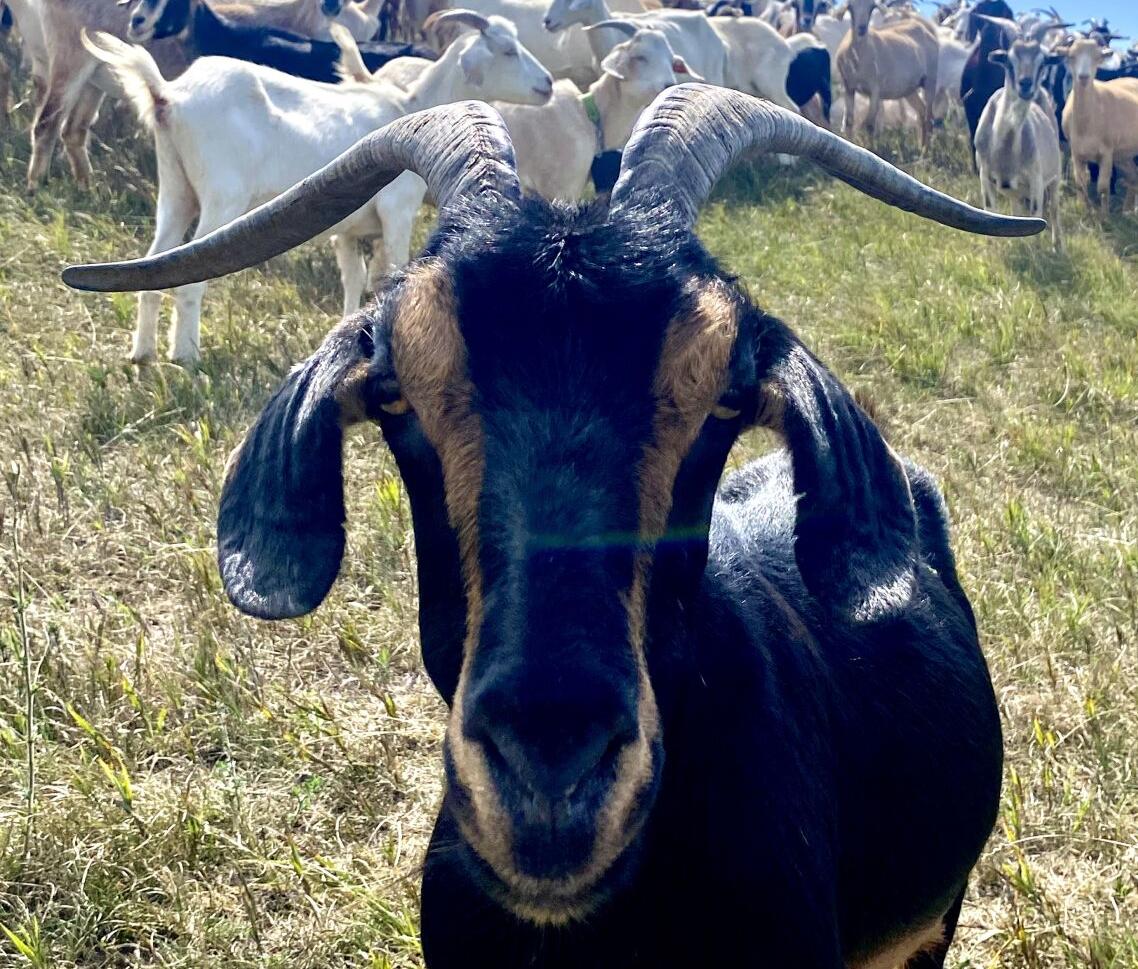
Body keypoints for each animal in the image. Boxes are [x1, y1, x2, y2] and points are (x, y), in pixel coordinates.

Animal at [79, 10, 551, 364]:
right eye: (507, 50)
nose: (547, 85)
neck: (409, 105)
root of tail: (167, 94)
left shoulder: (348, 230)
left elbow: (354, 281)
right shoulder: (397, 211)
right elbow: (392, 269)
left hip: (176, 191)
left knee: (156, 263)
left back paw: (142, 355)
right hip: (221, 199)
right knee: (192, 276)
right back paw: (186, 357)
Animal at [835, 0, 939, 150]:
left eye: (871, 7)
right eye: (850, 7)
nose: (861, 29)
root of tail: (925, 30)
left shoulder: (875, 89)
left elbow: (870, 124)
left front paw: (871, 149)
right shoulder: (848, 86)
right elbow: (849, 121)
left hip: (930, 80)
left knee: (929, 117)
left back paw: (925, 152)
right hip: (909, 88)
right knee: (921, 112)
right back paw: (921, 147)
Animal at [975, 38, 1062, 249]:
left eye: (1042, 63)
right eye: (1009, 60)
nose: (1025, 84)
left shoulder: (1036, 179)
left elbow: (1036, 216)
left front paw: (1033, 251)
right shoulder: (984, 175)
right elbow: (990, 211)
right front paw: (992, 248)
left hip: (1055, 176)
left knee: (1054, 209)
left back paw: (1057, 246)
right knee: (1015, 210)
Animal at [1060, 37, 1138, 216]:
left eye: (1097, 58)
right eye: (1071, 56)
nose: (1083, 77)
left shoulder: (1107, 153)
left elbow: (1102, 187)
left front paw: (1104, 216)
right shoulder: (1076, 152)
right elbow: (1080, 183)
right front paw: (1082, 208)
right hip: (1123, 154)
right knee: (1133, 178)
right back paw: (1127, 210)